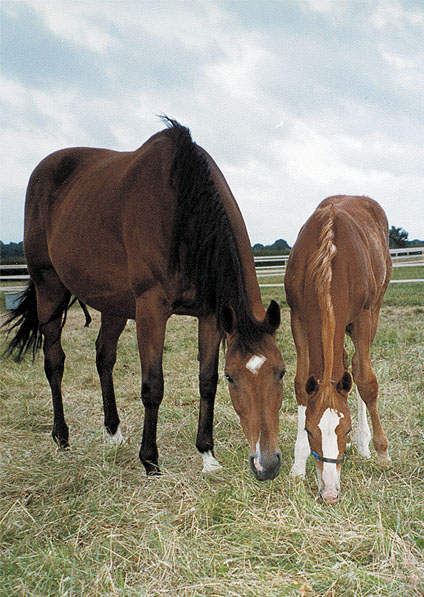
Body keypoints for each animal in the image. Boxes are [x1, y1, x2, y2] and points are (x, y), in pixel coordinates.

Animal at [2, 116, 284, 480]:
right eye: (233, 377)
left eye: (281, 372)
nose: (267, 464)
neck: (184, 213)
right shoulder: (151, 309)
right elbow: (153, 386)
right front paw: (150, 460)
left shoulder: (211, 315)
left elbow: (205, 381)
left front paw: (207, 454)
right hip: (49, 288)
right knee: (55, 363)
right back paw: (62, 438)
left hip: (115, 305)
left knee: (103, 357)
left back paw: (113, 433)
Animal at [284, 197, 390, 502]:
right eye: (309, 431)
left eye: (347, 428)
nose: (330, 493)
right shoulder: (298, 316)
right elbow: (300, 383)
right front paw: (298, 465)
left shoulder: (364, 317)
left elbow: (366, 381)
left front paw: (381, 450)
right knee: (344, 362)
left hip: (372, 312)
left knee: (357, 367)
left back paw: (366, 445)